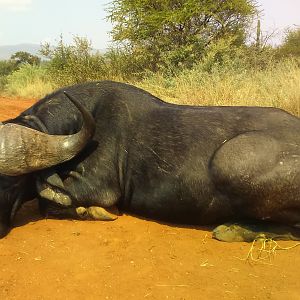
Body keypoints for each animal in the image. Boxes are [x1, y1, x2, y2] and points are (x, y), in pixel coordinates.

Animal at [0, 80, 300, 241]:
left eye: (11, 185)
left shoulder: (98, 189)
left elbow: (47, 201)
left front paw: (91, 211)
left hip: (228, 160)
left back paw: (233, 229)